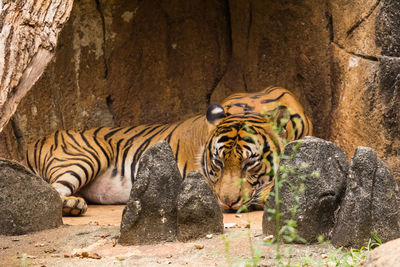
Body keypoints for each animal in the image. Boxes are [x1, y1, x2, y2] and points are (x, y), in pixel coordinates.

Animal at [25, 87, 312, 217]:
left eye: (250, 164)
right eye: (218, 164)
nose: (228, 202)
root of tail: (32, 142)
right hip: (84, 157)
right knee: (53, 191)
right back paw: (73, 205)